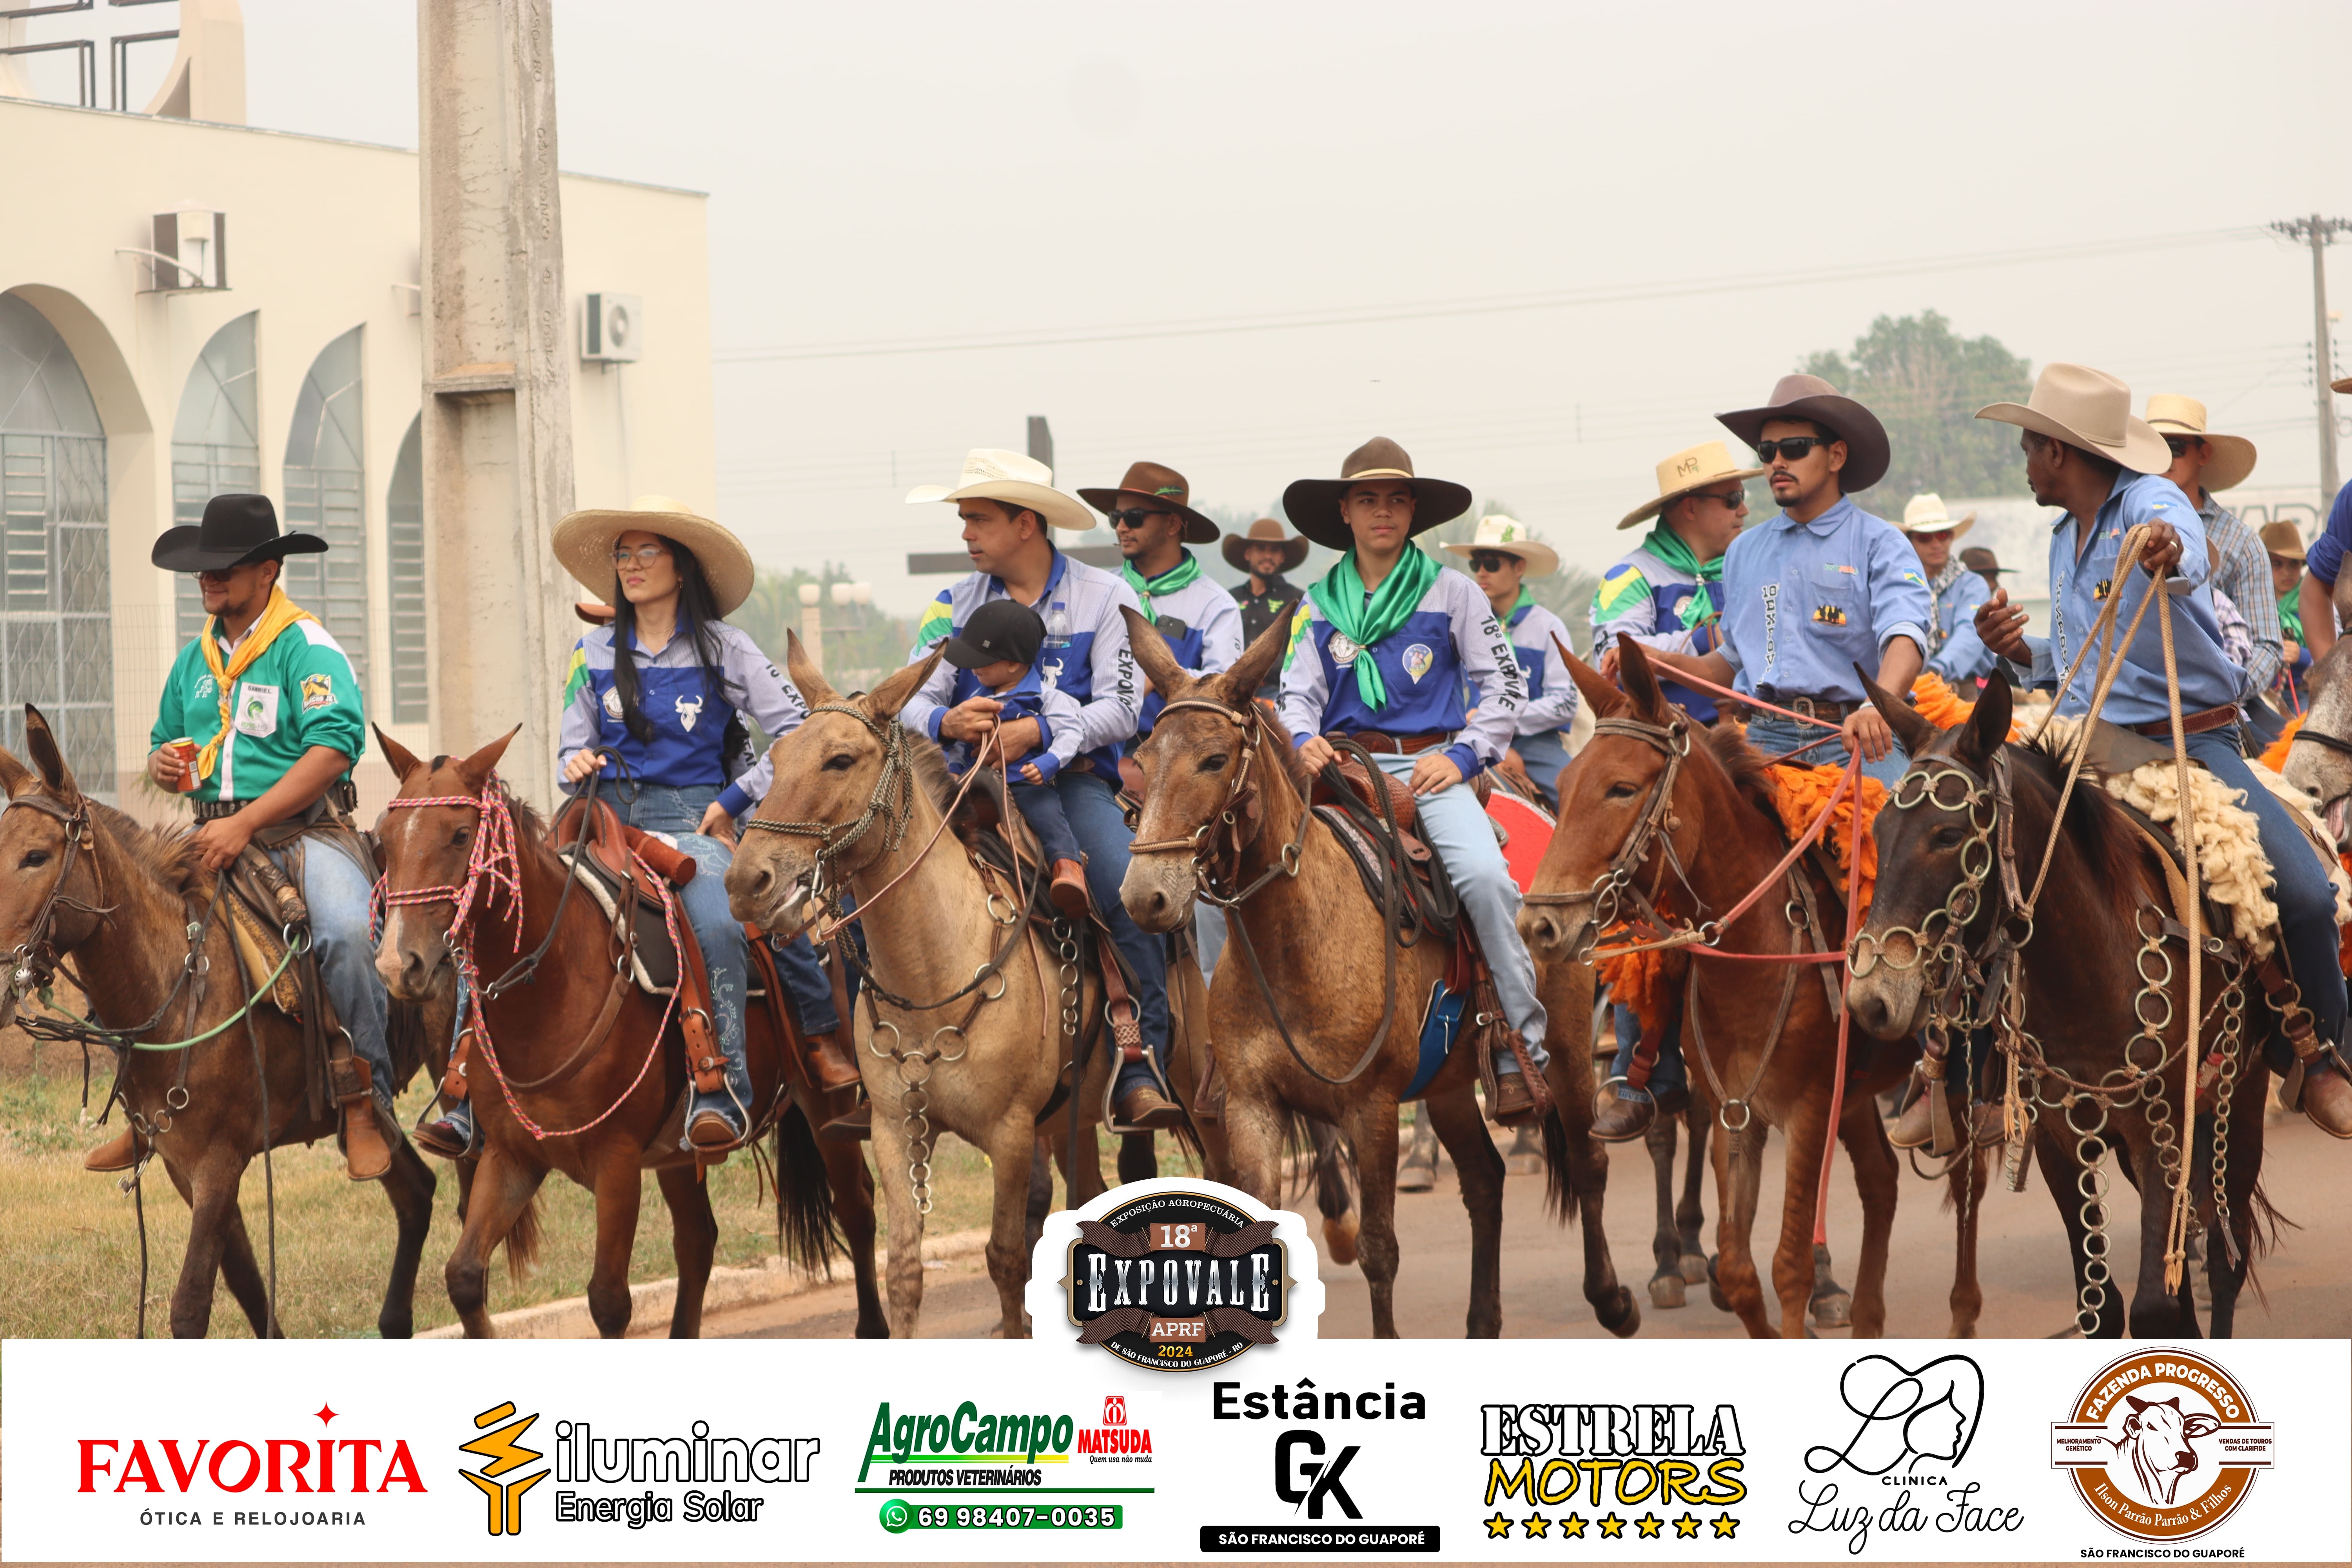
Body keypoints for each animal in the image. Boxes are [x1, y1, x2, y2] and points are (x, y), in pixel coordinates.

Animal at [0, 706, 440, 1338]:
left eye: (35, 856)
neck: (179, 985)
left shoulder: (218, 1163)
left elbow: (190, 1308)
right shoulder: (185, 1167)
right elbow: (251, 1289)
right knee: (418, 1193)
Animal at [371, 727, 880, 1339]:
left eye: (461, 835)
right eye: (384, 840)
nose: (399, 965)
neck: (551, 993)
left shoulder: (616, 1163)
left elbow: (609, 1301)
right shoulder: (511, 1156)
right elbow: (465, 1277)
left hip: (829, 1105)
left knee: (857, 1208)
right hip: (680, 1152)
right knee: (698, 1240)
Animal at [1116, 610, 1637, 1341]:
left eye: (1215, 760)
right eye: (1143, 761)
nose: (1145, 897)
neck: (1293, 942)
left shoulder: (1372, 1108)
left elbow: (1379, 1249)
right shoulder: (1251, 1106)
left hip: (1563, 1046)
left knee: (1588, 1162)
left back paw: (1612, 1298)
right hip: (1449, 1083)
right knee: (1485, 1181)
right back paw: (1483, 1320)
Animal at [1517, 640, 1912, 1338]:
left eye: (1621, 788)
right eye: (1561, 789)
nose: (1539, 924)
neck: (1758, 950)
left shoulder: (1809, 1106)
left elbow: (1789, 1263)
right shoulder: (1739, 1109)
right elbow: (1738, 1268)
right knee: (1881, 1180)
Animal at [1847, 676, 2279, 1338]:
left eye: (1948, 836)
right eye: (1877, 834)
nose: (1871, 999)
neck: (2089, 970)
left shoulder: (2164, 1130)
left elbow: (2156, 1306)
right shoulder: (2057, 1141)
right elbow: (2104, 1309)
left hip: (2243, 1096)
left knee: (2226, 1255)